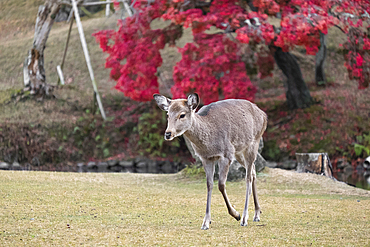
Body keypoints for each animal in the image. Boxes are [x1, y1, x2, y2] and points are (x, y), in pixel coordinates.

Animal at [155, 92, 268, 230]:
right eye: (167, 114)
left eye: (182, 115)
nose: (168, 133)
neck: (209, 144)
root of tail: (263, 114)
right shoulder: (206, 158)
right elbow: (209, 184)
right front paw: (206, 222)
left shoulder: (226, 154)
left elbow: (221, 184)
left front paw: (236, 214)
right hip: (239, 152)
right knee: (253, 172)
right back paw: (257, 214)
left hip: (253, 143)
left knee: (248, 177)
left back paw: (245, 218)